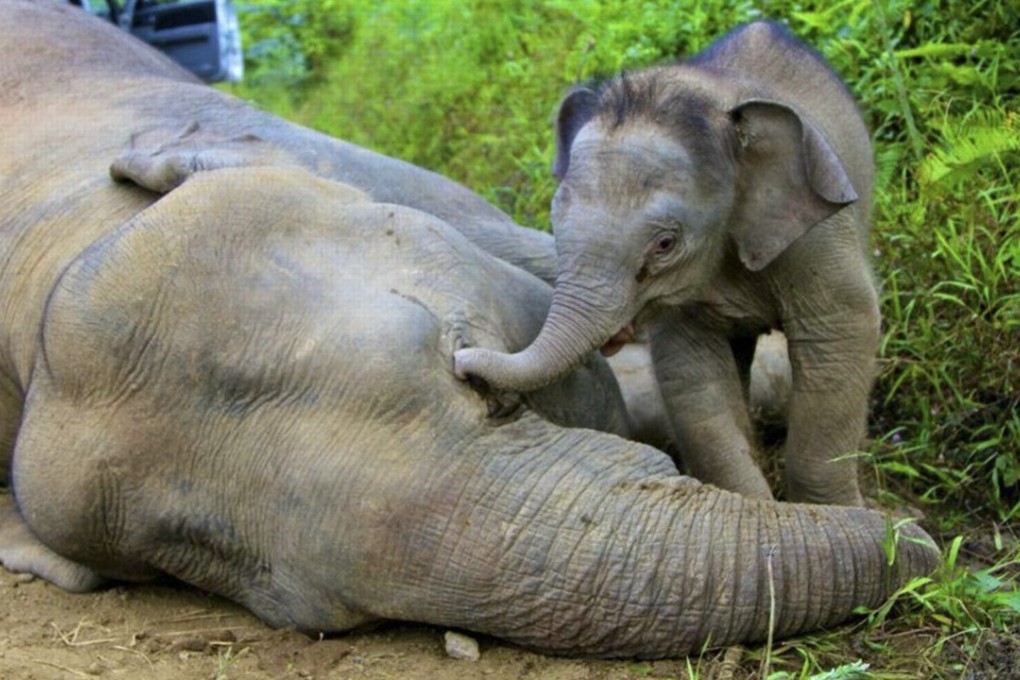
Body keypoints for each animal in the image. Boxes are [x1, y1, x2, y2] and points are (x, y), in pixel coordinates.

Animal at [455, 21, 880, 507]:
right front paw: (754, 506)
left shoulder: (817, 236)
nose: (461, 363)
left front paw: (838, 512)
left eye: (664, 243)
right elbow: (692, 374)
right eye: (554, 220)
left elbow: (841, 334)